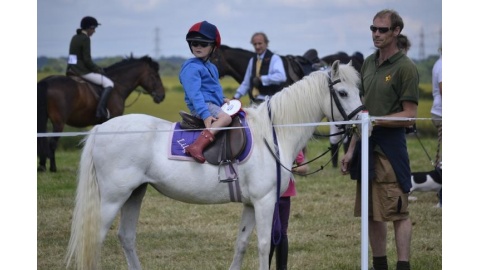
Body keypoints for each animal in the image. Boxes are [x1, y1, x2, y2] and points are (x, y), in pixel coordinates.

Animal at [37, 55, 167, 172]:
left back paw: (42, 166)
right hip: (59, 122)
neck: (117, 86)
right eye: (155, 76)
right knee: (52, 143)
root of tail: (46, 81)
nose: (162, 96)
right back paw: (53, 168)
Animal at [65, 59, 362, 270]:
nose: (362, 120)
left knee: (126, 237)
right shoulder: (265, 202)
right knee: (95, 239)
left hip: (134, 194)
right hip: (112, 198)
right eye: (343, 92)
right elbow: (264, 245)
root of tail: (101, 129)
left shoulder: (250, 204)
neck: (272, 133)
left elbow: (241, 243)